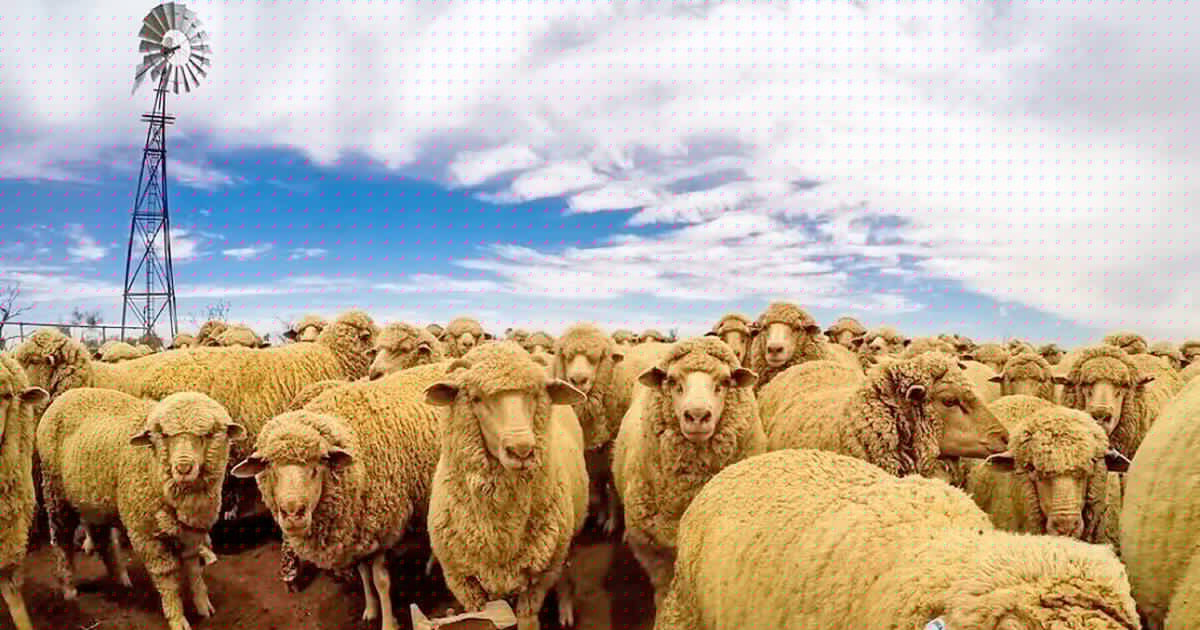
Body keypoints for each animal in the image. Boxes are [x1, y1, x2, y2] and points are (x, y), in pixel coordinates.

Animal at [38, 389, 244, 630]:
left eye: (208, 434)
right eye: (164, 435)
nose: (183, 468)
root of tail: (67, 394)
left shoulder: (192, 529)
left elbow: (194, 567)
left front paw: (203, 606)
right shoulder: (146, 534)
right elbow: (167, 577)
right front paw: (177, 618)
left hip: (96, 501)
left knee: (103, 539)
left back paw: (121, 581)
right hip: (55, 492)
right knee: (61, 540)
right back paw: (69, 589)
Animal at [231, 359, 453, 627]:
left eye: (317, 466)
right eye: (270, 468)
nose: (293, 514)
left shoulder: (379, 526)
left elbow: (381, 581)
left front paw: (389, 622)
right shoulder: (355, 533)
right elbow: (364, 574)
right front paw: (370, 610)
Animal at [422, 342, 588, 630]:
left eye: (534, 394)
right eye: (476, 398)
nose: (522, 450)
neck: (500, 533)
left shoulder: (536, 581)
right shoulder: (465, 583)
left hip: (565, 541)